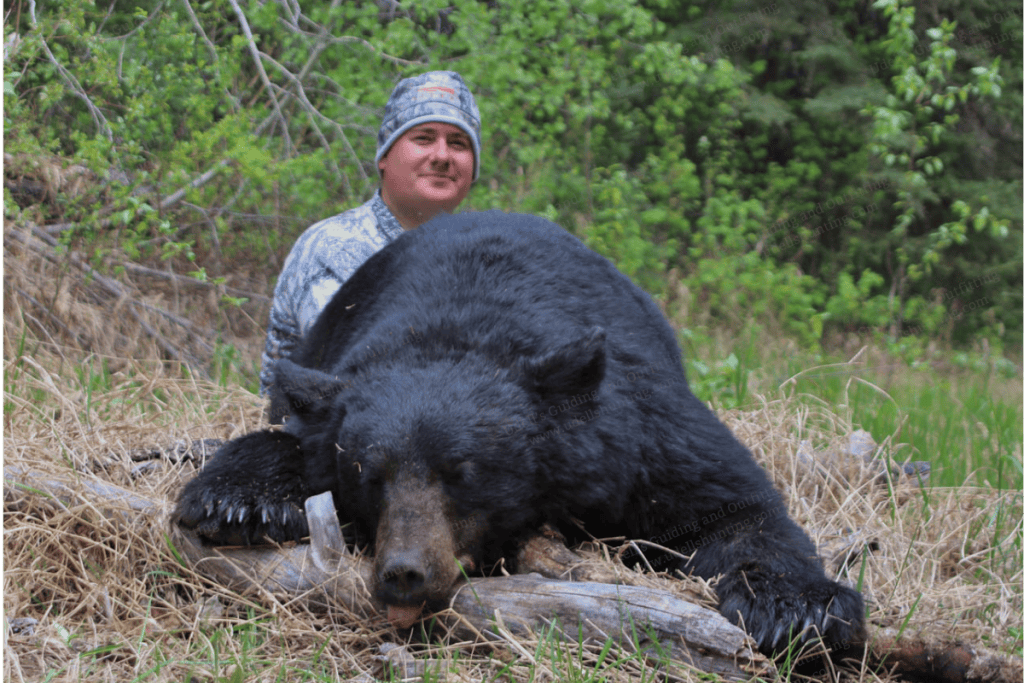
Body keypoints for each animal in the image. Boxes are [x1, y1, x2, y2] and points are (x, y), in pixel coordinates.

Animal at [175, 211, 864, 655]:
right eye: (368, 475)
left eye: (462, 472)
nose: (403, 572)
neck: (461, 324)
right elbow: (290, 437)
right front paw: (237, 500)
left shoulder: (640, 433)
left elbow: (731, 504)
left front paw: (800, 609)